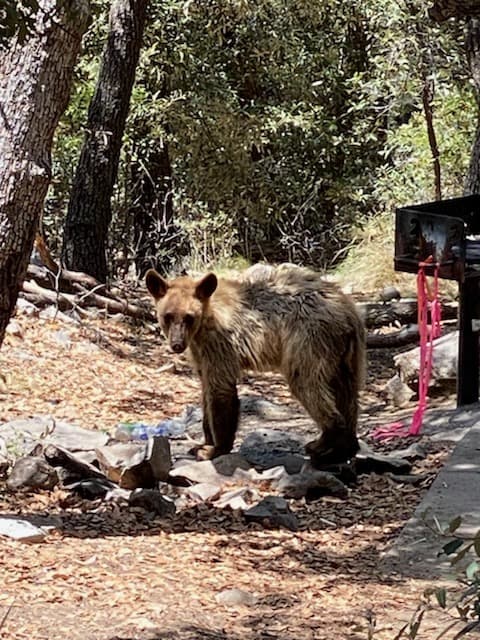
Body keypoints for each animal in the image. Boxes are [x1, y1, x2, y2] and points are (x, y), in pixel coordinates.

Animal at [145, 263, 365, 466]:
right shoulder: (200, 353)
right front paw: (203, 443)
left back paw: (326, 447)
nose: (177, 344)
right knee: (346, 393)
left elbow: (221, 392)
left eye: (189, 317)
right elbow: (206, 391)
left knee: (307, 384)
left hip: (308, 339)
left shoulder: (220, 344)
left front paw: (215, 448)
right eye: (168, 316)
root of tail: (348, 309)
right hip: (345, 354)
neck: (202, 326)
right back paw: (343, 445)